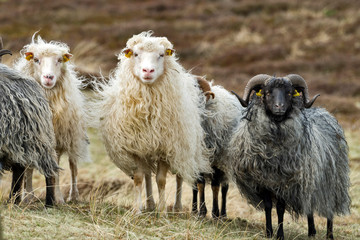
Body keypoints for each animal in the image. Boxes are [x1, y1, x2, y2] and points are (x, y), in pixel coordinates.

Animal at [14, 33, 91, 202]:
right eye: (36, 60)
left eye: (59, 60)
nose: (48, 77)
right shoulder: (31, 138)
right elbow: (29, 168)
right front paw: (28, 196)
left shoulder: (58, 140)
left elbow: (56, 168)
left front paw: (58, 198)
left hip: (72, 135)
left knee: (73, 166)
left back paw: (73, 196)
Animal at [91, 31, 212, 213]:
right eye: (135, 54)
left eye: (161, 55)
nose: (148, 70)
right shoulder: (136, 146)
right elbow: (139, 178)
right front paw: (137, 209)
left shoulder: (165, 146)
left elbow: (161, 180)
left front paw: (162, 211)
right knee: (147, 174)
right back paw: (149, 204)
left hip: (182, 145)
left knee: (179, 176)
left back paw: (176, 206)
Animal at [191, 77, 242, 219]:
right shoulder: (199, 160)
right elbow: (200, 184)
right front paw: (201, 212)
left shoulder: (217, 162)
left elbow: (215, 187)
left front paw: (214, 213)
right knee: (194, 186)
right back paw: (194, 210)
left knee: (224, 189)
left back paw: (223, 214)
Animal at [229, 74, 350, 239]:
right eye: (267, 93)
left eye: (289, 93)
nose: (279, 107)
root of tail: (325, 113)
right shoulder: (263, 182)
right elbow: (268, 207)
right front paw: (269, 232)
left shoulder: (284, 183)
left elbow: (280, 208)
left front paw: (280, 234)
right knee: (309, 207)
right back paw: (311, 232)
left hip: (331, 182)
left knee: (329, 208)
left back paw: (329, 235)